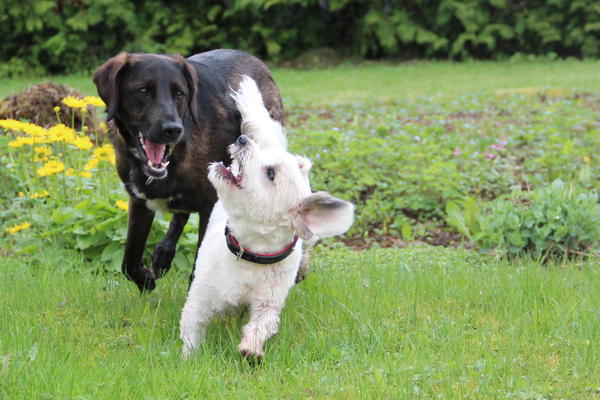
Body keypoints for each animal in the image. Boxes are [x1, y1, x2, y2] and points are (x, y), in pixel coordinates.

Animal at [93, 49, 284, 290]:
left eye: (180, 94)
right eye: (143, 90)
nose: (173, 130)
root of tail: (257, 61)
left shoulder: (210, 205)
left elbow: (199, 262)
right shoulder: (139, 201)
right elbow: (129, 261)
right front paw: (146, 280)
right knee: (180, 213)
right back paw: (163, 254)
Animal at [180, 76, 354, 360]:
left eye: (270, 173)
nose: (242, 140)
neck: (250, 251)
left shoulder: (268, 302)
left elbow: (262, 324)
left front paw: (251, 348)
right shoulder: (200, 298)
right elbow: (192, 328)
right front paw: (189, 360)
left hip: (309, 241)